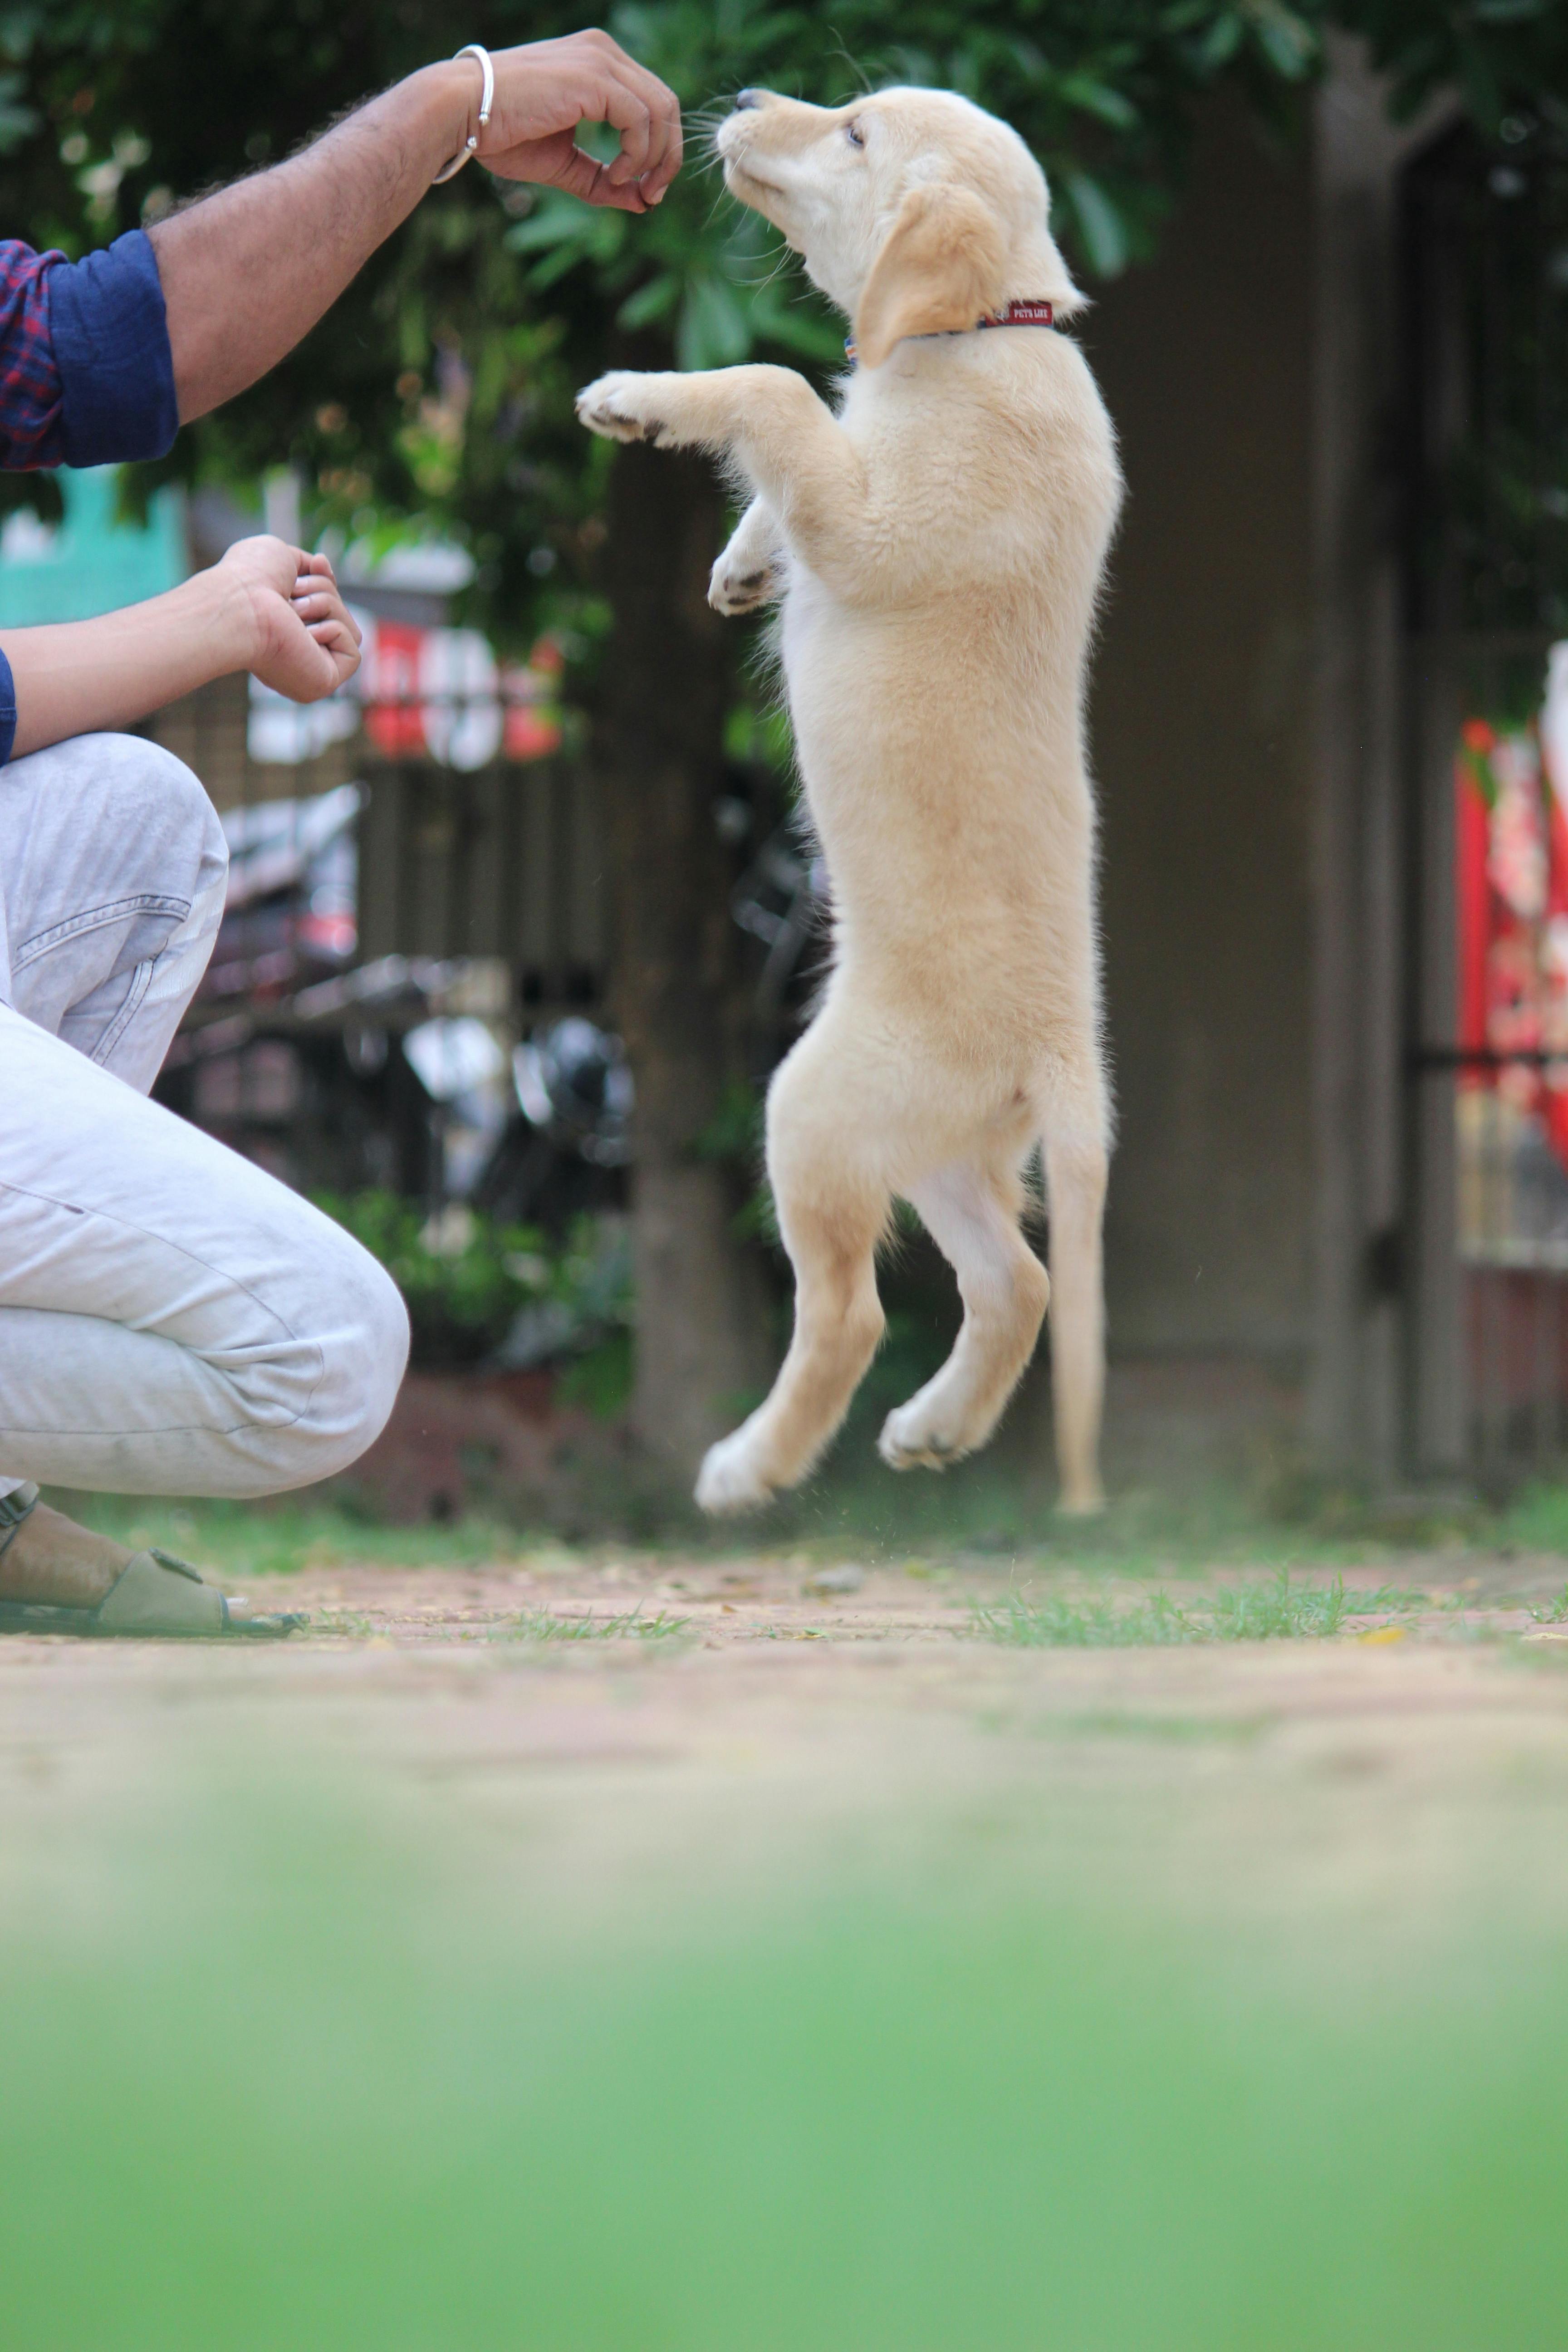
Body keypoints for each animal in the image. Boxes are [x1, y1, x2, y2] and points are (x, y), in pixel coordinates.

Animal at [583, 83, 1123, 1514]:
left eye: (858, 138)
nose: (746, 101)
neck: (987, 333)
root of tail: (1061, 1057)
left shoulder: (869, 515)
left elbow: (775, 390)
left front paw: (641, 400)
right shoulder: (845, 462)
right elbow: (800, 419)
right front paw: (743, 563)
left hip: (815, 1110)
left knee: (851, 1315)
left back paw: (746, 1468)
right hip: (937, 1146)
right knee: (1019, 1280)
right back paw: (936, 1425)